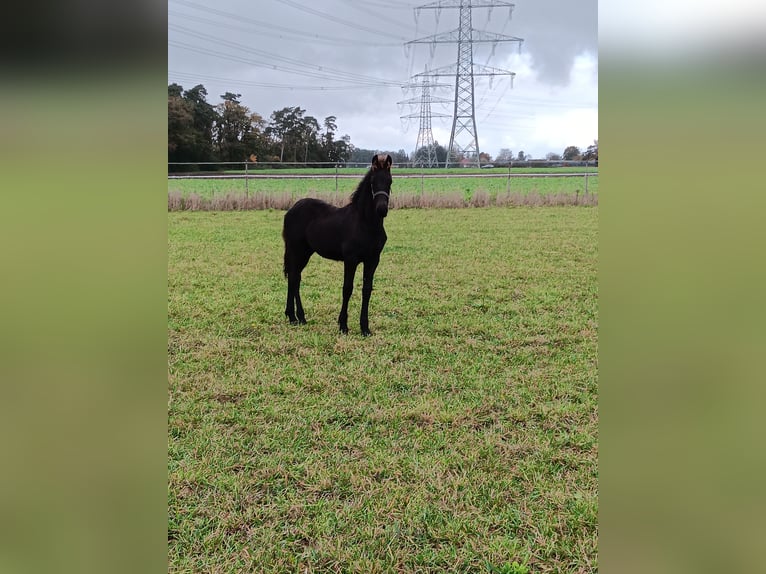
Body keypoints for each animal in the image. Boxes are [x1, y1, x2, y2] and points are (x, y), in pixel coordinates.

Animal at [280, 153, 392, 338]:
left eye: (390, 181)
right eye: (372, 182)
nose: (382, 209)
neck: (366, 224)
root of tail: (292, 209)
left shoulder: (373, 260)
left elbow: (367, 290)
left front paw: (365, 328)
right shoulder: (351, 259)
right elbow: (347, 289)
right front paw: (343, 325)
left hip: (306, 252)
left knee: (295, 278)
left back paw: (298, 317)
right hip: (296, 250)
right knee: (294, 277)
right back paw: (295, 317)